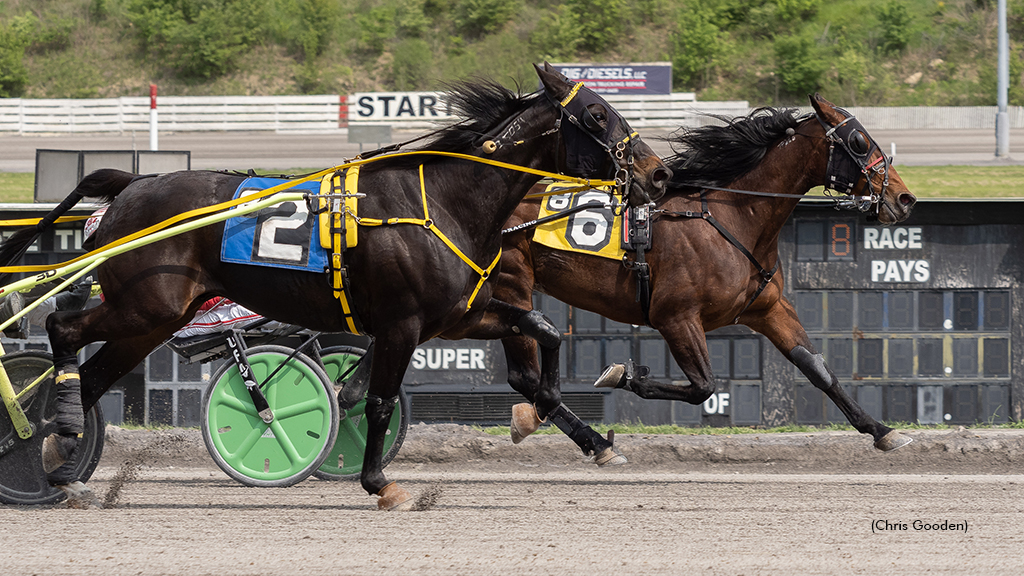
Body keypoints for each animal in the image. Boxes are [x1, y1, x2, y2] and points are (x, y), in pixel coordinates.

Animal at [0, 65, 671, 508]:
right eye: (597, 115)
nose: (658, 173)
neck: (442, 201)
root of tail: (129, 186)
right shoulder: (401, 323)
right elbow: (377, 400)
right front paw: (380, 482)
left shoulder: (456, 315)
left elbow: (543, 334)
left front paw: (574, 426)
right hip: (145, 304)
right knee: (62, 328)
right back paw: (47, 433)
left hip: (154, 317)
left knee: (89, 375)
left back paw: (60, 458)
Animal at [450, 91, 921, 455]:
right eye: (859, 141)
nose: (905, 199)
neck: (737, 219)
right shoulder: (675, 316)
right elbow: (703, 387)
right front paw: (624, 375)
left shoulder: (768, 309)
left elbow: (818, 368)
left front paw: (882, 431)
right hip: (513, 283)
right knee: (525, 373)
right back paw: (587, 439)